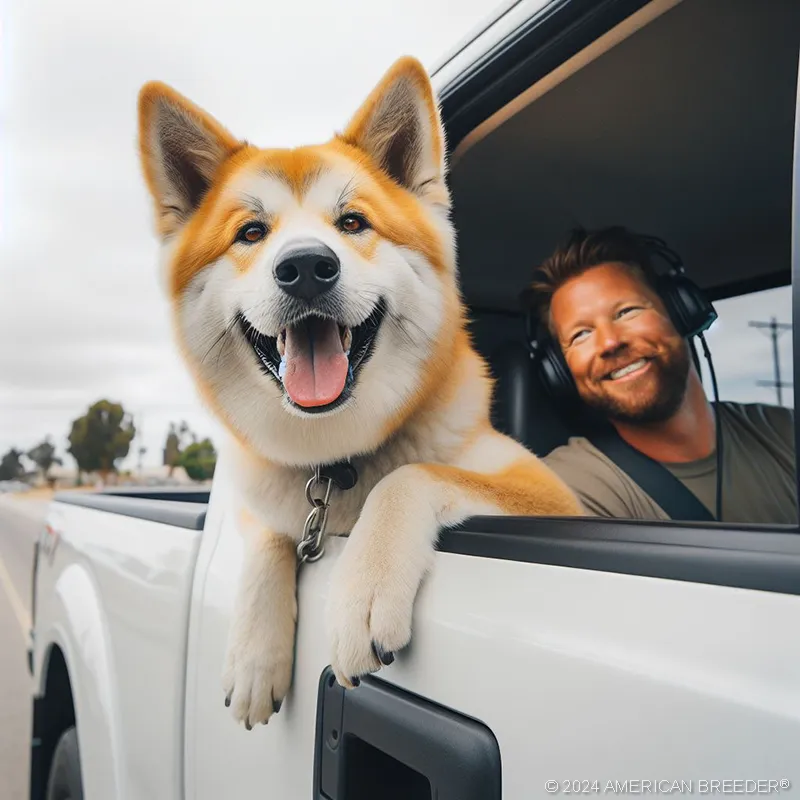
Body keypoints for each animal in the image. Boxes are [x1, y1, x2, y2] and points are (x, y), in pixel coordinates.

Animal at [138, 57, 580, 732]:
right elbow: (268, 536)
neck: (334, 460)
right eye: (251, 233)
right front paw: (254, 654)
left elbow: (409, 475)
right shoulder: (261, 495)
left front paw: (363, 590)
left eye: (352, 223)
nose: (304, 267)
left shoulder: (552, 496)